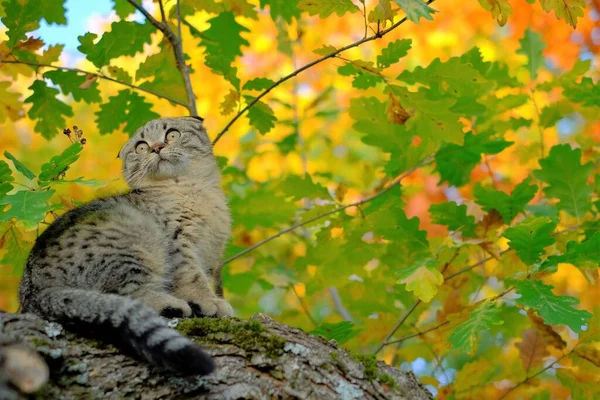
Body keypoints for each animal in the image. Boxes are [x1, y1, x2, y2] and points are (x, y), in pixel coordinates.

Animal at [16, 116, 232, 376]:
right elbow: (193, 278)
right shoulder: (178, 241)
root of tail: (34, 291)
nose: (156, 148)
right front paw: (209, 302)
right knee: (127, 295)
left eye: (172, 135)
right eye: (141, 147)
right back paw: (171, 304)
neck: (191, 189)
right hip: (136, 237)